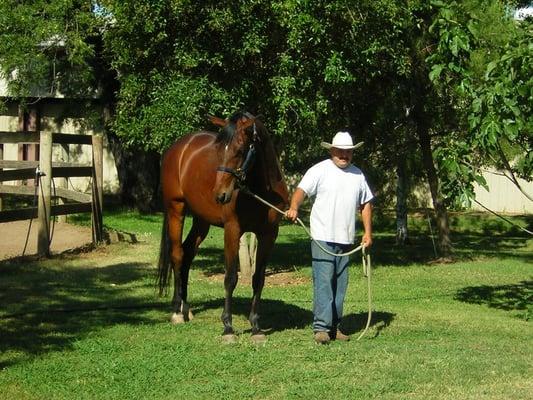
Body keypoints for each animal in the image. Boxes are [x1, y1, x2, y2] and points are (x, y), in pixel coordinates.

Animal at [156, 111, 288, 342]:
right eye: (219, 151)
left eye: (240, 150)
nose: (219, 195)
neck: (259, 191)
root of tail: (178, 147)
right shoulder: (232, 230)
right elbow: (230, 278)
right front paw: (228, 328)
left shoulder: (269, 234)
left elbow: (258, 279)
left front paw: (256, 327)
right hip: (175, 209)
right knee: (177, 255)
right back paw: (176, 312)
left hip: (201, 221)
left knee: (187, 254)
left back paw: (186, 309)